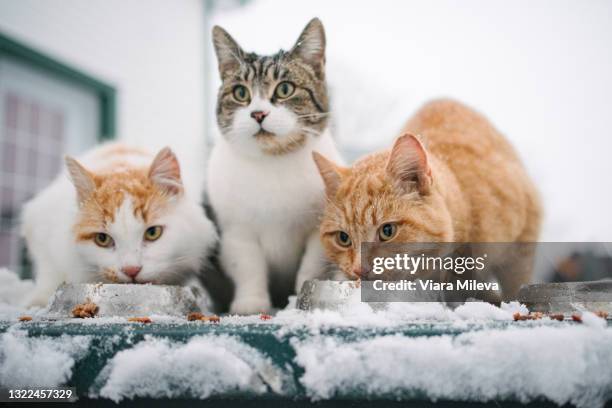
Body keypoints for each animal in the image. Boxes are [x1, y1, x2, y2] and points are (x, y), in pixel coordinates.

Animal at [20, 143, 218, 306]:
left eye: (153, 232)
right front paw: (40, 300)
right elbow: (49, 269)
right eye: (102, 239)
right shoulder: (41, 227)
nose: (131, 270)